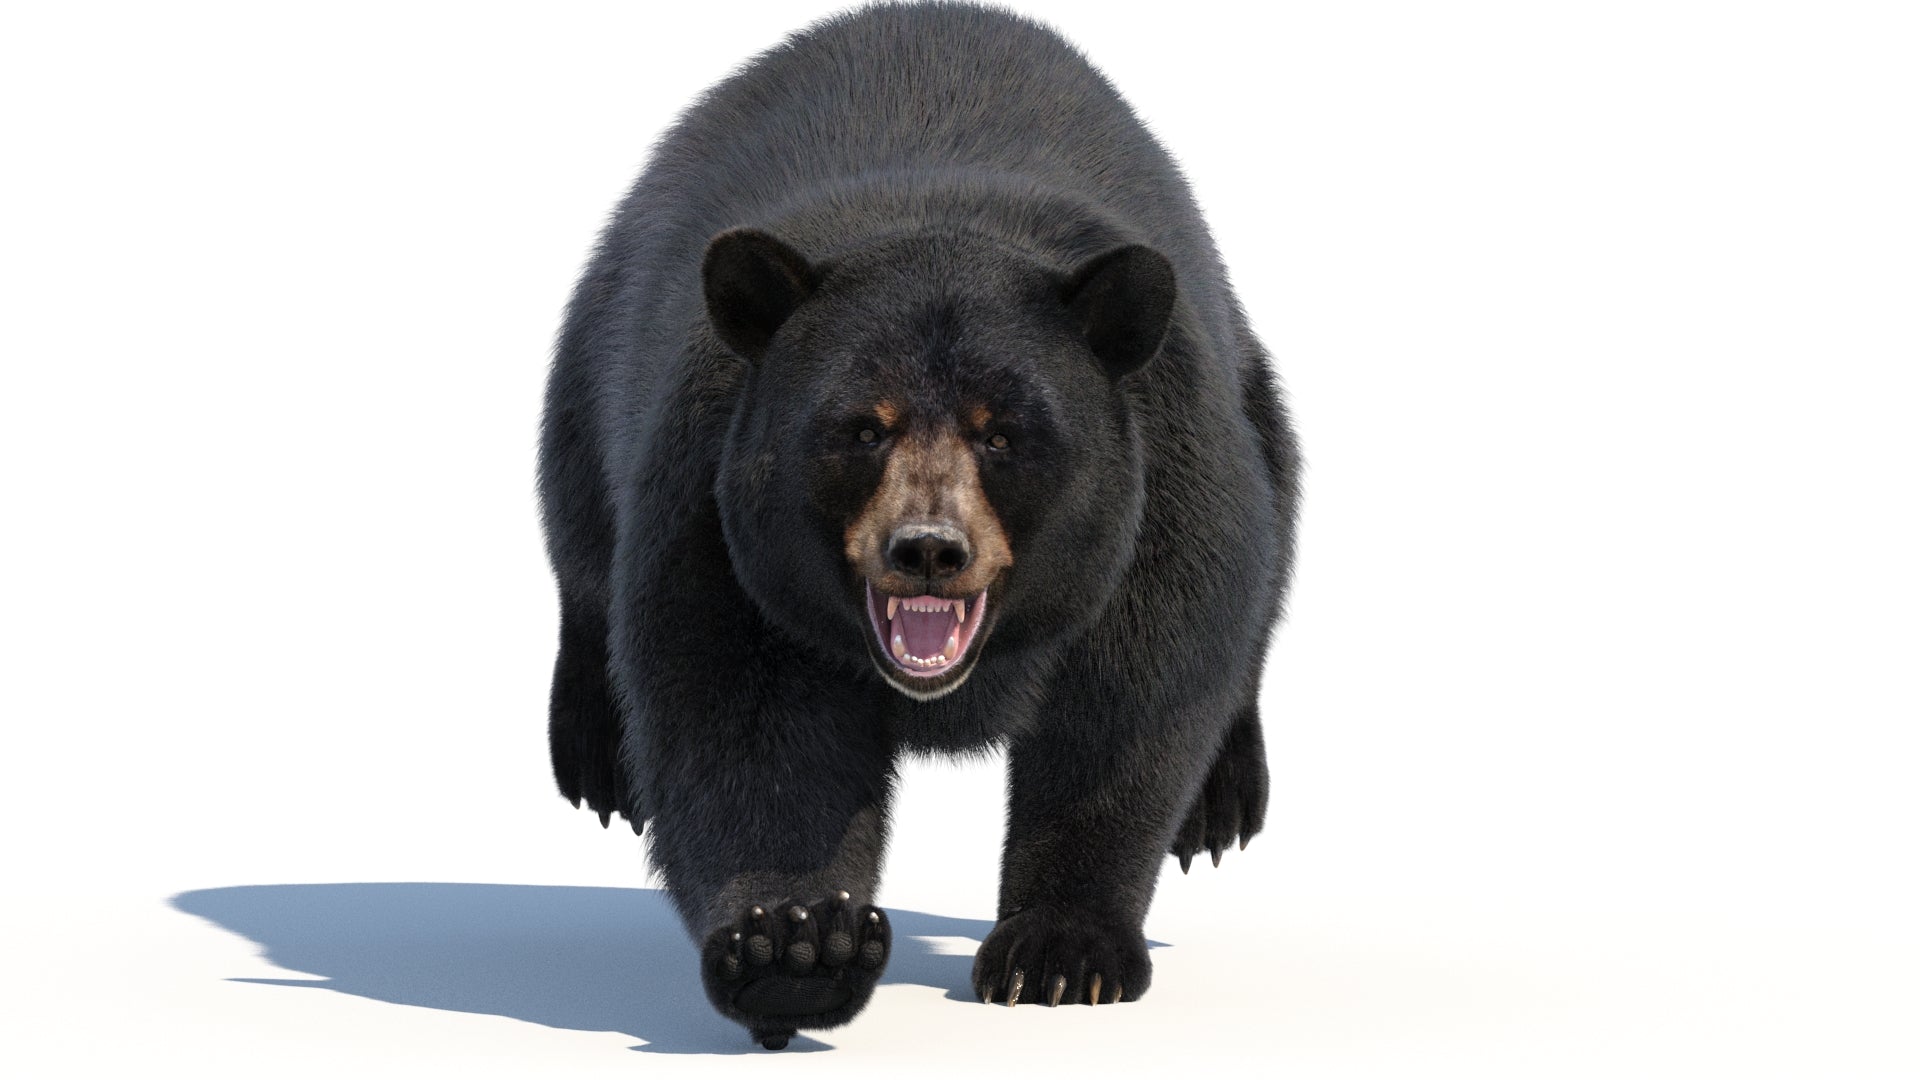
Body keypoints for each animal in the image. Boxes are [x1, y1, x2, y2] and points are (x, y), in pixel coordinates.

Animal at [538, 1, 1300, 1050]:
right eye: (862, 427)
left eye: (1004, 433)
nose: (929, 550)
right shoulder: (713, 506)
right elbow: (743, 715)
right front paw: (794, 945)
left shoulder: (1166, 476)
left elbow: (1136, 694)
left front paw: (1061, 950)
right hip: (594, 368)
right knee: (579, 537)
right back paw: (594, 754)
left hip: (1249, 394)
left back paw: (1222, 799)